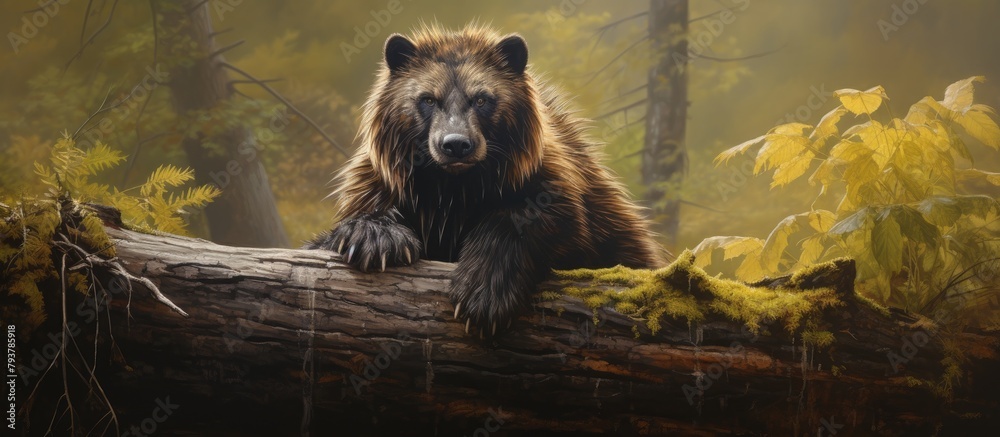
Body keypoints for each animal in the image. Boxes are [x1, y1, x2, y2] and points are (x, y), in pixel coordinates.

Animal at [307, 24, 668, 336]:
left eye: (481, 98)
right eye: (428, 98)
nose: (455, 144)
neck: (454, 188)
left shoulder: (555, 188)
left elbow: (535, 220)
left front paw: (482, 295)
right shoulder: (384, 184)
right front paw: (377, 239)